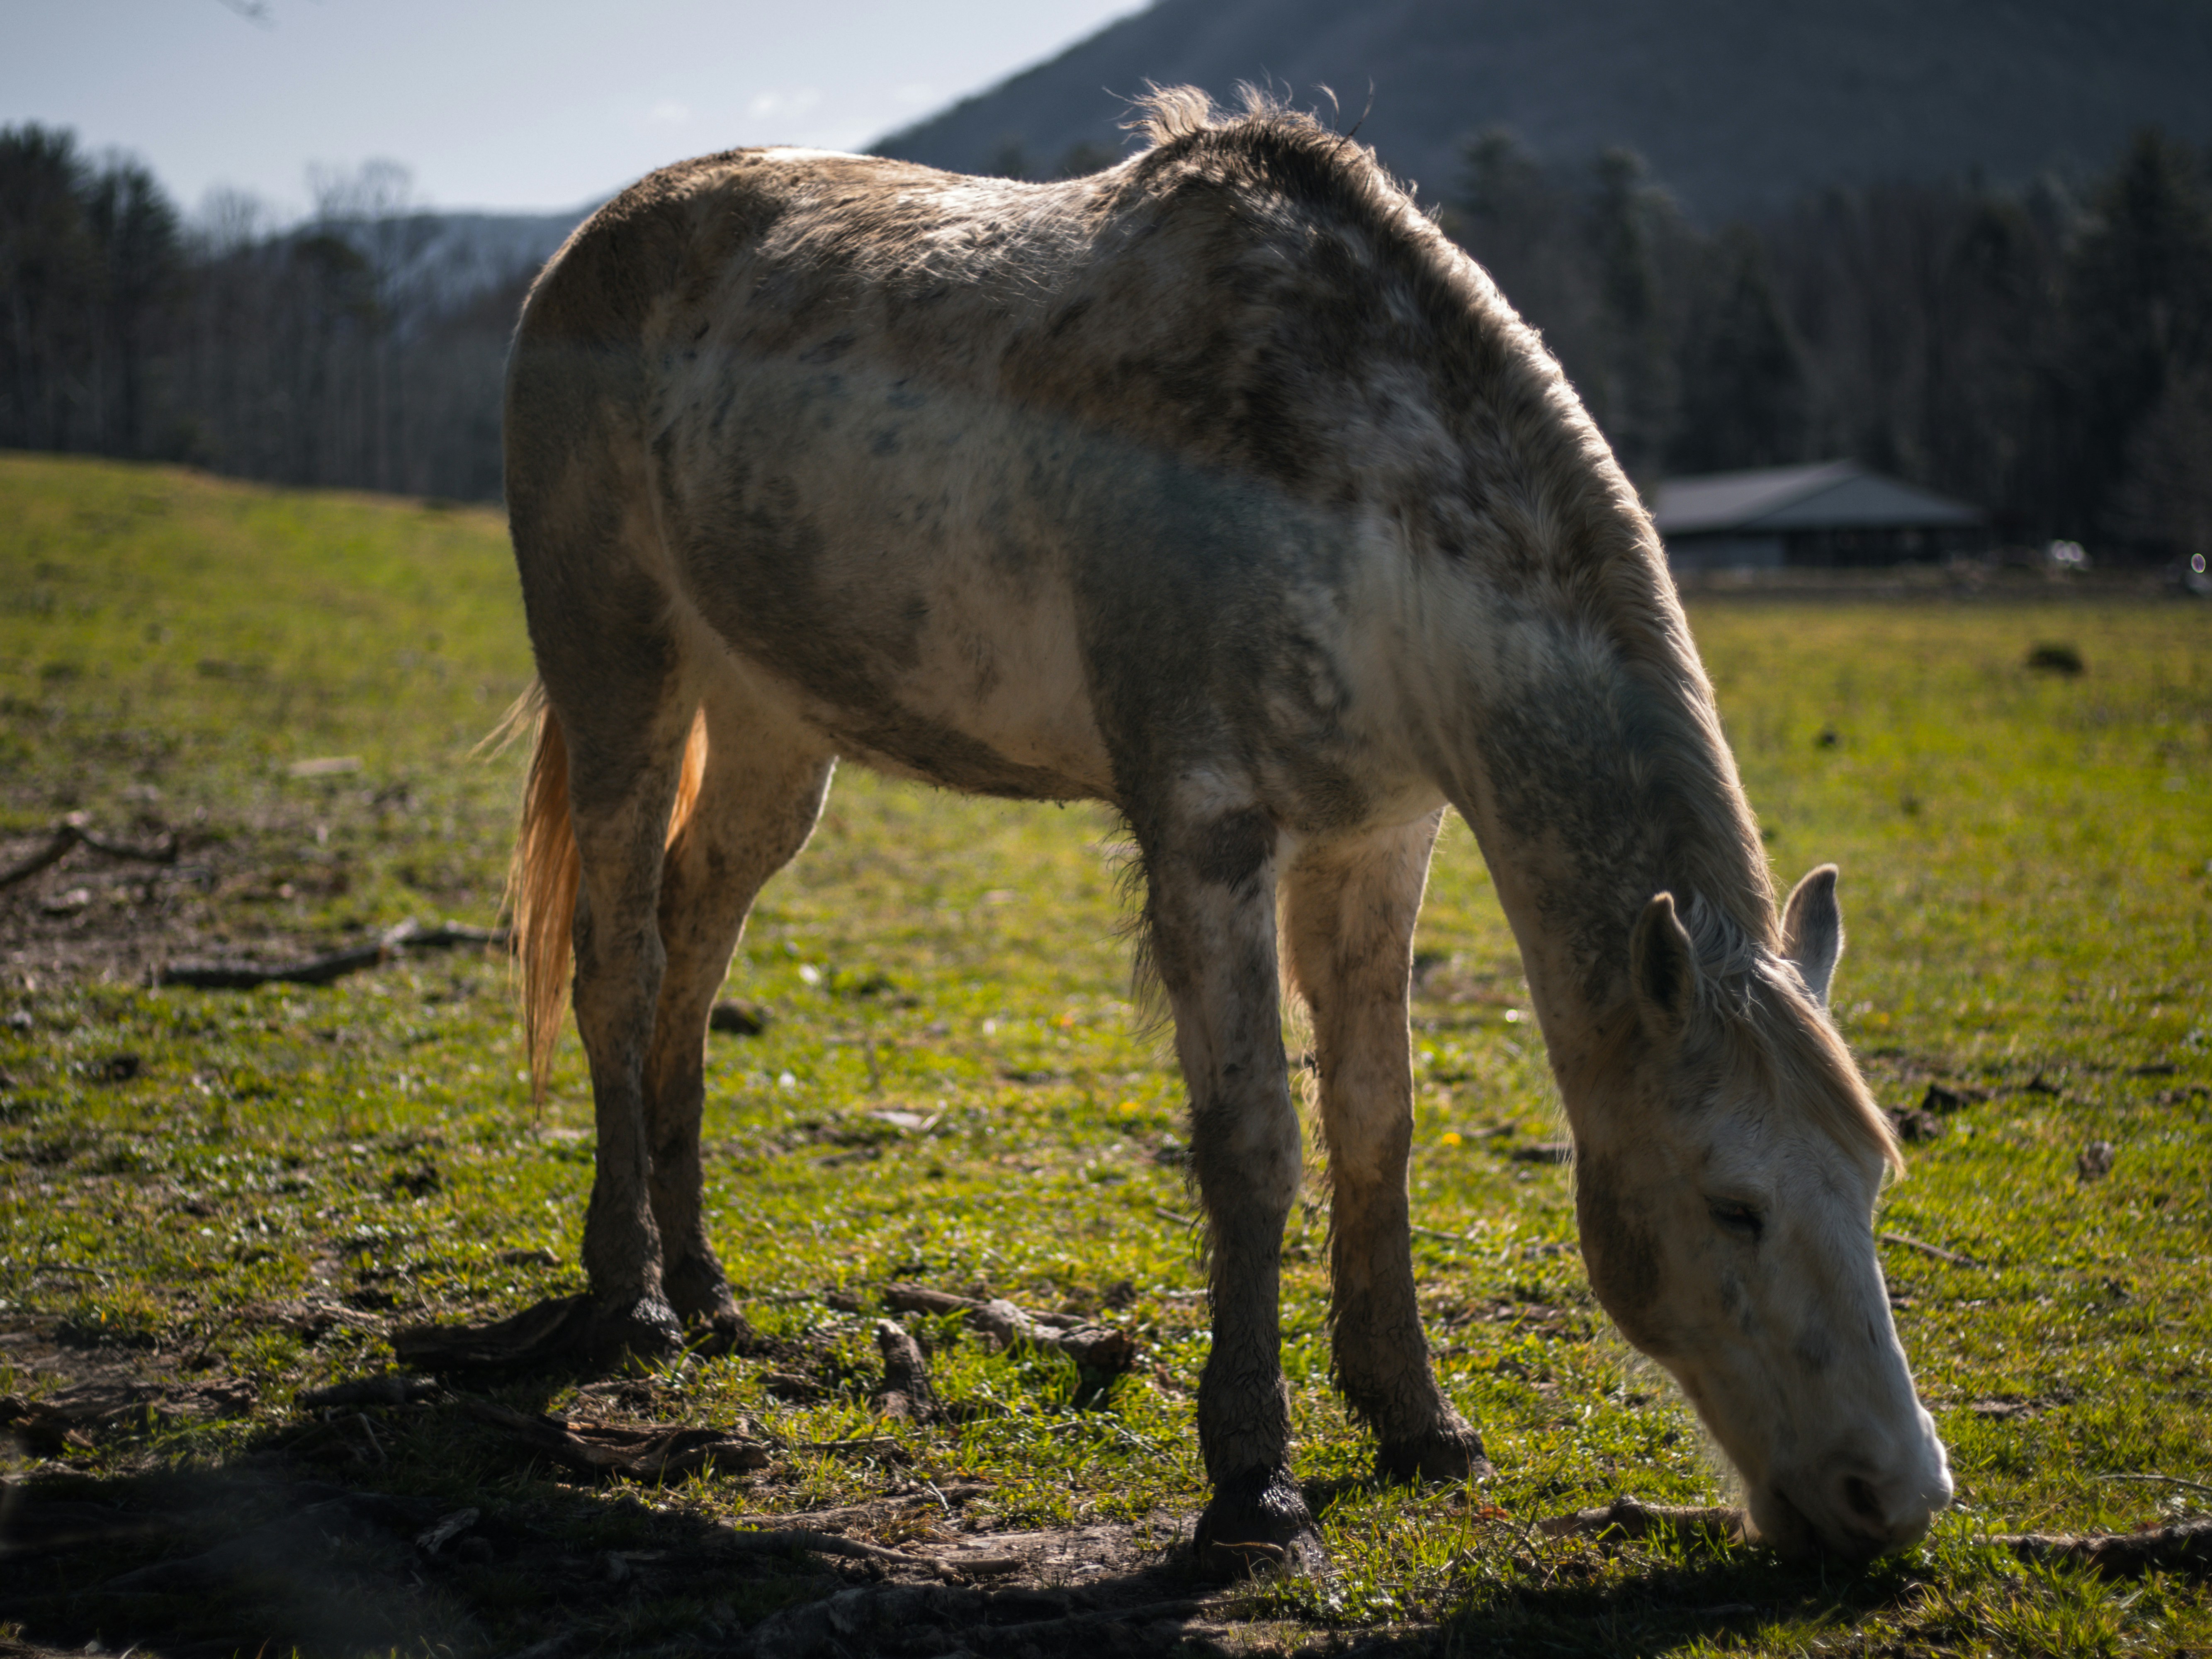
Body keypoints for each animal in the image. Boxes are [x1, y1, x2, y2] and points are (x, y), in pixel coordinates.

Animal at [475, 86, 1952, 1573]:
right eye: (1729, 1204)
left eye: (1869, 1184)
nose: (1893, 1497)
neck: (1354, 501)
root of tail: (588, 249)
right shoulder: (1205, 828)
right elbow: (1251, 1144)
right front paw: (1254, 1485)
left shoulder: (1377, 841)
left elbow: (1375, 1119)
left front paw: (1414, 1419)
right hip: (621, 676)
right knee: (621, 965)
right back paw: (632, 1300)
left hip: (774, 733)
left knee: (695, 942)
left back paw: (706, 1287)